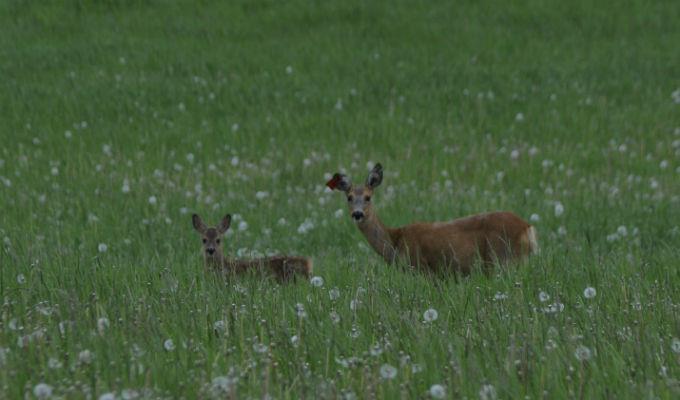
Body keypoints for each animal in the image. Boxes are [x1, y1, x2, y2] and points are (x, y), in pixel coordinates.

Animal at [326, 162, 540, 276]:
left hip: (503, 259)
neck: (395, 242)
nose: (357, 214)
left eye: (368, 197)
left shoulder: (422, 268)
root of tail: (528, 228)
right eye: (349, 197)